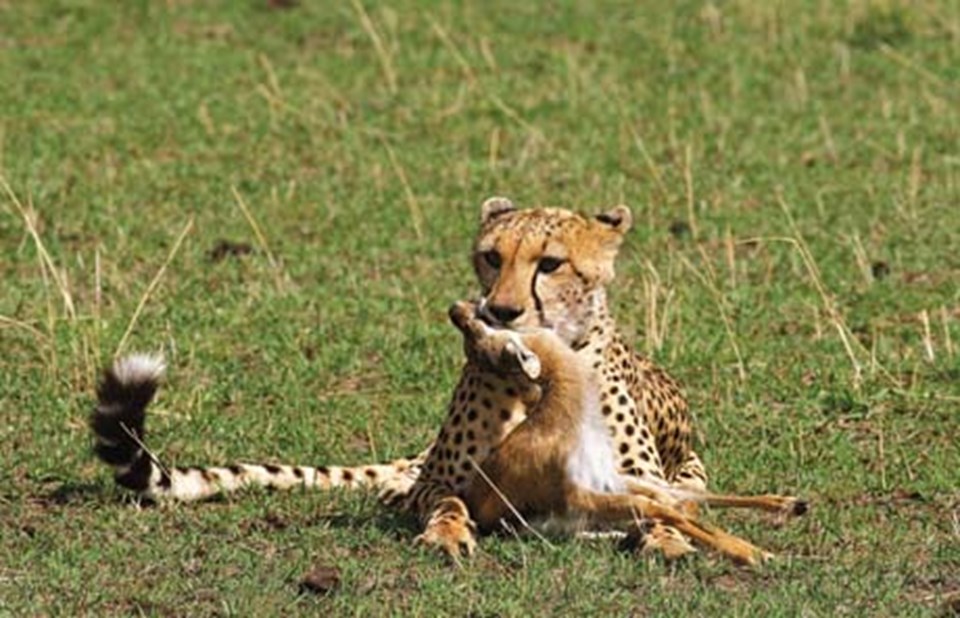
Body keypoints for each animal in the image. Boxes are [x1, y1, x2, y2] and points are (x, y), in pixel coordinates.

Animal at [92, 199, 712, 560]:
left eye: (551, 263)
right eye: (492, 257)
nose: (501, 311)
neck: (539, 371)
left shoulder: (646, 482)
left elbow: (666, 513)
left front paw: (670, 543)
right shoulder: (441, 480)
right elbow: (447, 501)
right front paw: (446, 535)